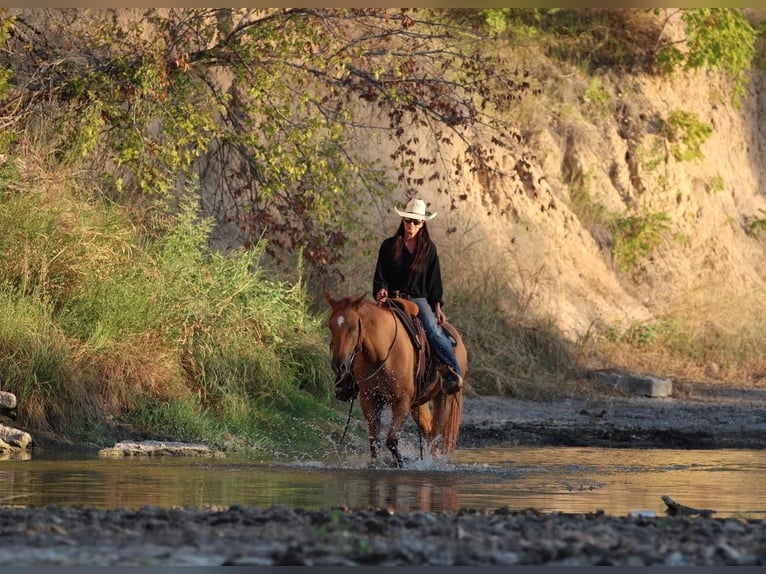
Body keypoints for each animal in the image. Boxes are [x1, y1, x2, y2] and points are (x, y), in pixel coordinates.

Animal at [326, 292, 468, 468]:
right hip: (418, 405)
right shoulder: (370, 400)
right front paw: (374, 464)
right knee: (428, 432)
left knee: (435, 436)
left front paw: (400, 463)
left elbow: (391, 440)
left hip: (444, 397)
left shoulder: (401, 402)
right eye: (331, 326)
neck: (381, 354)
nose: (338, 365)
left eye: (352, 327)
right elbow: (374, 441)